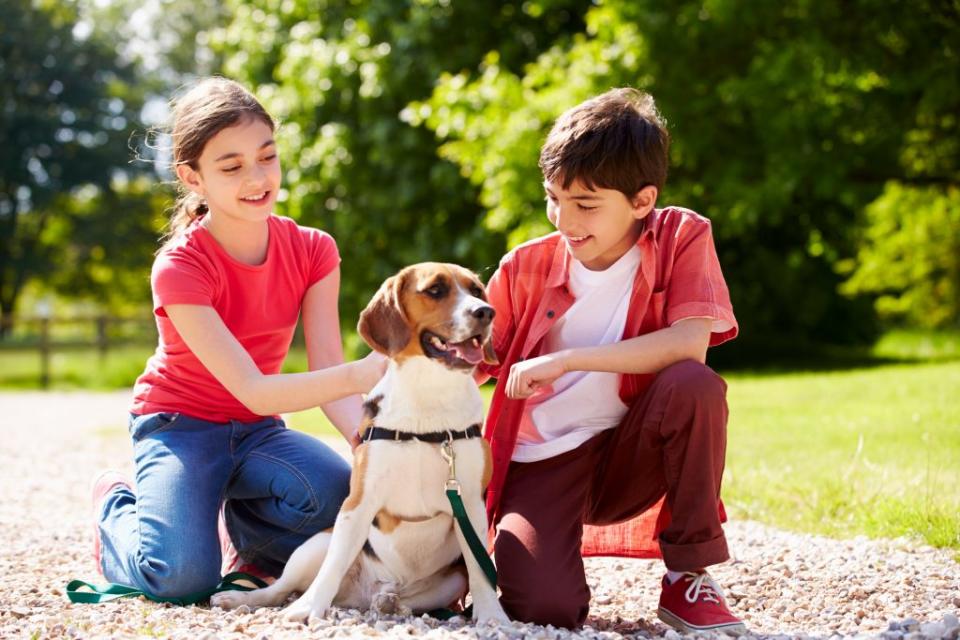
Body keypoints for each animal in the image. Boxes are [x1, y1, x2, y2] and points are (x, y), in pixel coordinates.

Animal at [210, 262, 510, 624]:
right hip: (315, 545)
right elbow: (333, 566)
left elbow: (481, 571)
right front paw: (307, 609)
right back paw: (246, 598)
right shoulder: (358, 503)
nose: (486, 312)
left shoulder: (471, 505)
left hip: (450, 581)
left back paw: (390, 602)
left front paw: (492, 615)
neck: (429, 395)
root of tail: (359, 595)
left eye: (477, 291)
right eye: (436, 290)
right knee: (282, 587)